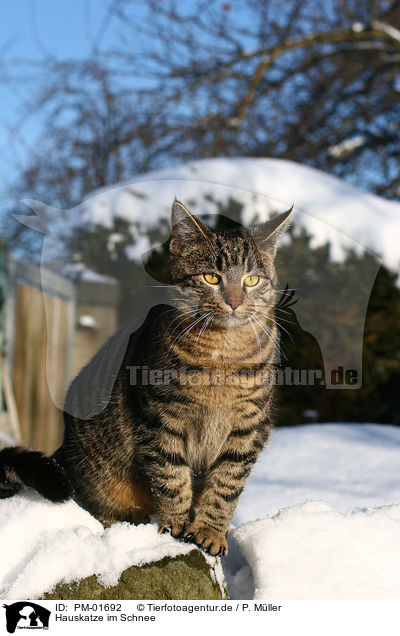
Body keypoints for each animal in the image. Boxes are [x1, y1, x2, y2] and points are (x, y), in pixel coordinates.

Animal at [0, 201, 290, 556]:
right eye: (211, 277)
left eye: (251, 279)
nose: (235, 301)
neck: (222, 356)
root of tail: (62, 449)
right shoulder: (158, 419)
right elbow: (171, 477)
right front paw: (177, 524)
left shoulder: (250, 426)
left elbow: (227, 485)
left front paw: (210, 530)